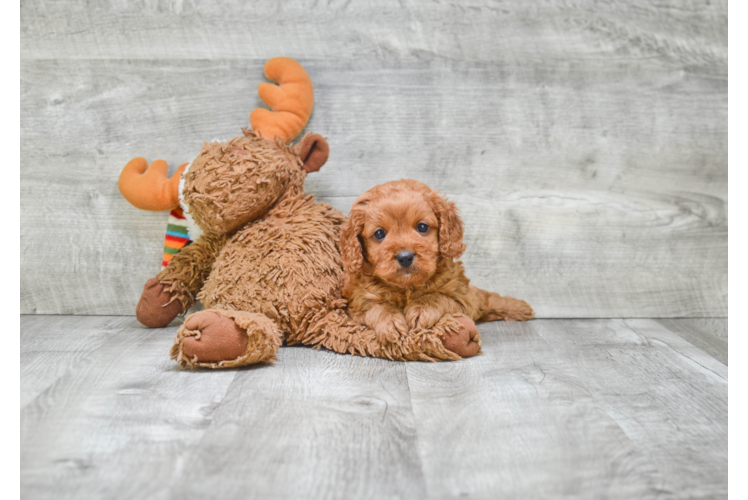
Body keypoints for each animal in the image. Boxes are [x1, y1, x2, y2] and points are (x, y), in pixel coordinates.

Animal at [342, 180, 536, 356]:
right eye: (379, 233)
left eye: (422, 227)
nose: (405, 257)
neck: (407, 287)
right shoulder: (357, 304)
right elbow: (374, 307)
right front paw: (389, 321)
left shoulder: (462, 298)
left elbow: (439, 296)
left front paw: (422, 309)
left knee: (487, 299)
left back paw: (521, 308)